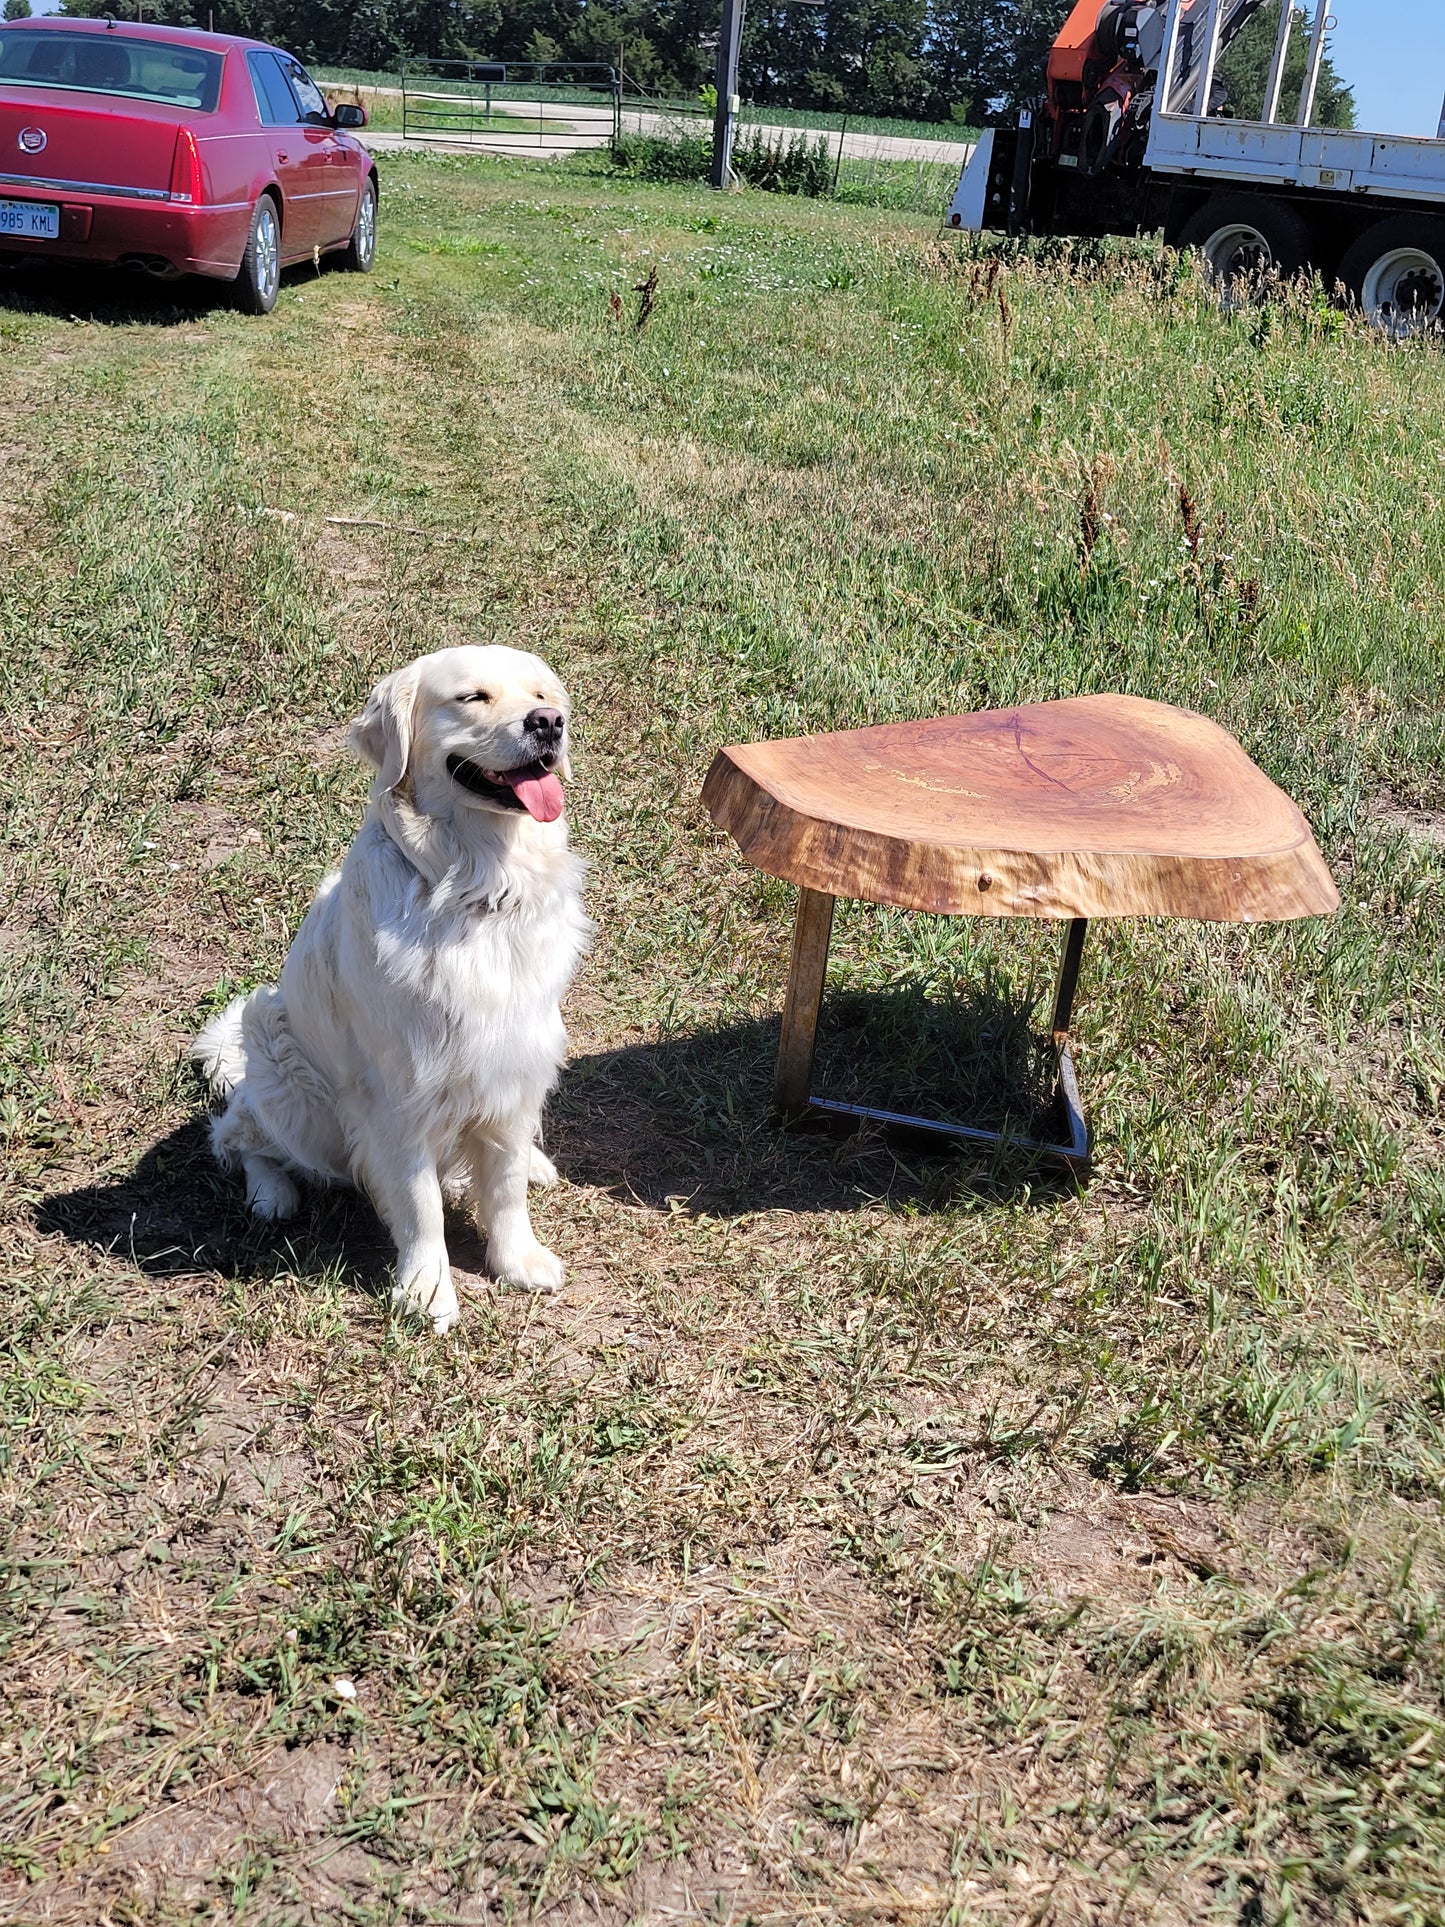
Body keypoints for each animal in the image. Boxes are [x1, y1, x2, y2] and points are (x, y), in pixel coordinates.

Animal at [190, 639, 589, 1333]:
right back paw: (272, 1192)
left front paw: (517, 1260)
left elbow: (505, 1182)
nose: (548, 725)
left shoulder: (516, 1061)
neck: (475, 885)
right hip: (288, 1081)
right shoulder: (400, 1093)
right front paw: (427, 1290)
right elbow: (419, 1202)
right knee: (238, 1136)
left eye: (541, 696)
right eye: (472, 697)